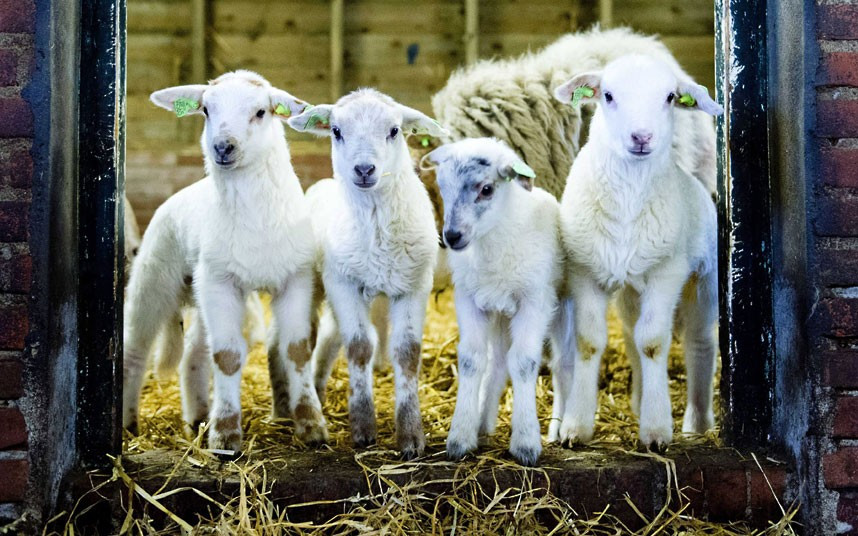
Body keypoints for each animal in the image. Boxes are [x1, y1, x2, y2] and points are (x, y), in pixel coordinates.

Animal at [123, 70, 325, 451]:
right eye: (205, 110)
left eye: (261, 111)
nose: (222, 147)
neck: (255, 218)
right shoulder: (221, 283)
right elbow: (228, 357)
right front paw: (226, 435)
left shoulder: (295, 279)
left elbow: (297, 351)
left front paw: (311, 425)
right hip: (155, 278)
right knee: (135, 350)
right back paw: (128, 424)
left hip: (200, 288)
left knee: (193, 354)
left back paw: (198, 417)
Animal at [287, 89, 446, 459]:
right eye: (335, 131)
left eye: (394, 130)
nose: (363, 169)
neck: (376, 223)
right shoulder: (343, 283)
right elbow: (359, 347)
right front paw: (362, 429)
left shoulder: (413, 284)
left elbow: (407, 352)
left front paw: (411, 436)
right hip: (323, 285)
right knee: (325, 337)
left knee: (332, 336)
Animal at [425, 137, 572, 466]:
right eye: (442, 185)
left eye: (486, 189)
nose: (451, 236)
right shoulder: (469, 300)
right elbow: (471, 360)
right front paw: (460, 438)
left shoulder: (534, 301)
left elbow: (525, 362)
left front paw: (526, 443)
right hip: (501, 314)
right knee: (497, 363)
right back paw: (482, 423)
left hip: (562, 307)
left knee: (562, 365)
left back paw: (561, 428)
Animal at [552, 54, 723, 451]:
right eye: (608, 95)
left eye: (670, 96)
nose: (642, 137)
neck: (628, 199)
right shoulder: (585, 271)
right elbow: (589, 342)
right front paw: (575, 427)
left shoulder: (667, 273)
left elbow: (654, 343)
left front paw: (657, 429)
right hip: (631, 289)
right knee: (631, 335)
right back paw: (641, 397)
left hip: (703, 279)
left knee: (699, 341)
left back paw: (698, 422)